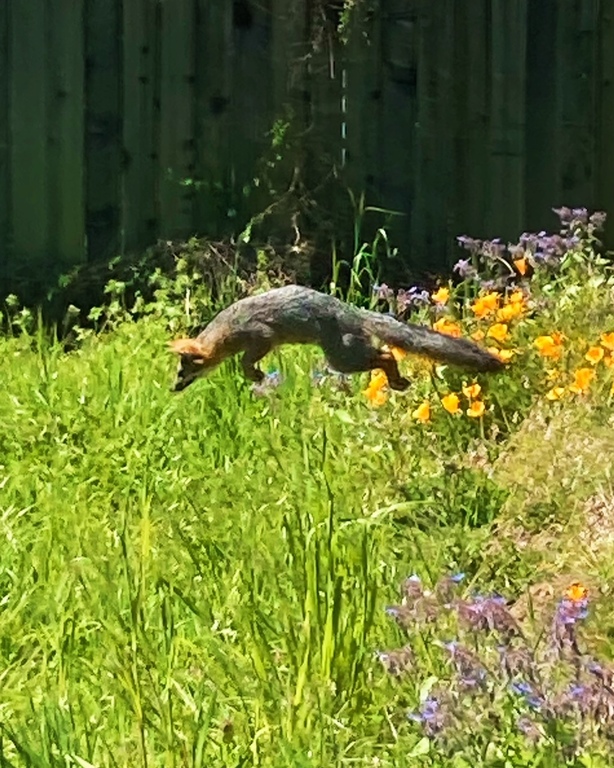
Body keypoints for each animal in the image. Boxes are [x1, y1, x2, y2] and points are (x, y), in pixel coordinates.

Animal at [170, 284, 504, 392]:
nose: (173, 388)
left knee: (386, 355)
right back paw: (398, 382)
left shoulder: (261, 334)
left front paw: (255, 374)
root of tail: (353, 311)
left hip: (342, 360)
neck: (225, 329)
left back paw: (396, 381)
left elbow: (246, 361)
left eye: (183, 371)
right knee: (385, 354)